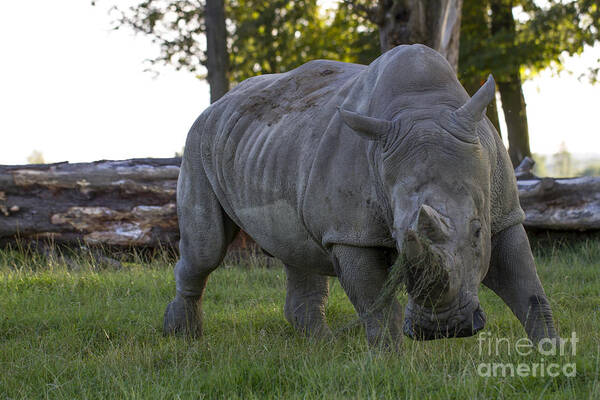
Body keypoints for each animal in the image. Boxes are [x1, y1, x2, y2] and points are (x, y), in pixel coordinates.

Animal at [163, 43, 556, 344]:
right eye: (398, 236)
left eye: (477, 231)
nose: (441, 331)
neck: (424, 109)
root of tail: (218, 103)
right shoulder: (351, 234)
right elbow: (377, 307)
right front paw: (391, 364)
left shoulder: (504, 212)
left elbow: (528, 288)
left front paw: (550, 353)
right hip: (198, 142)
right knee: (206, 250)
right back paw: (183, 336)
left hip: (270, 145)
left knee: (297, 249)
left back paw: (323, 347)